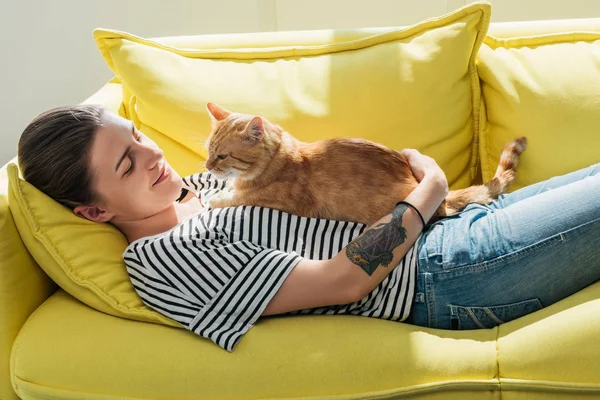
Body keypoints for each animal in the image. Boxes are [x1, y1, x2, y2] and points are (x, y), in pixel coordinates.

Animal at [203, 102, 524, 225]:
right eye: (208, 150)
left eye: (222, 156)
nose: (206, 167)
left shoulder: (274, 200)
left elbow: (231, 198)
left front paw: (215, 197)